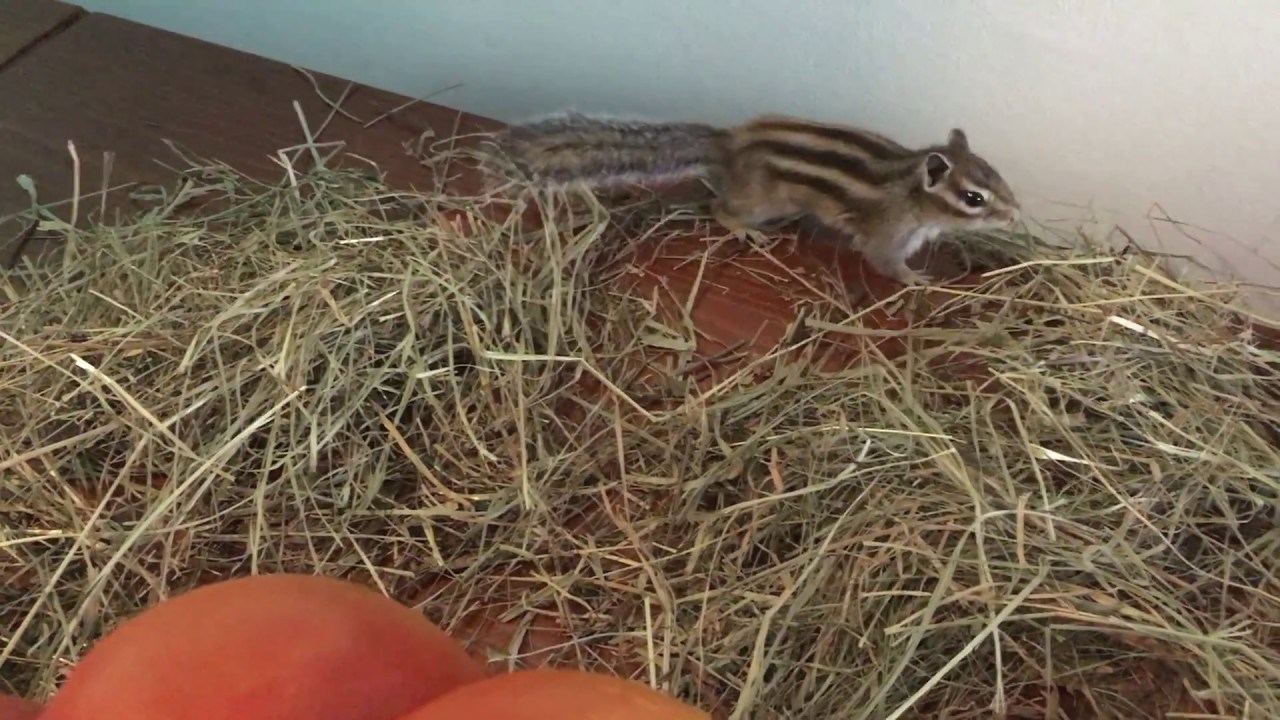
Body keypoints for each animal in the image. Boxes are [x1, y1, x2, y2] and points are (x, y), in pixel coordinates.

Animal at [485, 110, 1021, 286]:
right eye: (973, 197)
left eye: (996, 176)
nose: (1017, 215)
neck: (909, 189)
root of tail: (727, 145)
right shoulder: (885, 236)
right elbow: (883, 263)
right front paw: (916, 278)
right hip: (763, 201)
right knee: (718, 208)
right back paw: (746, 229)